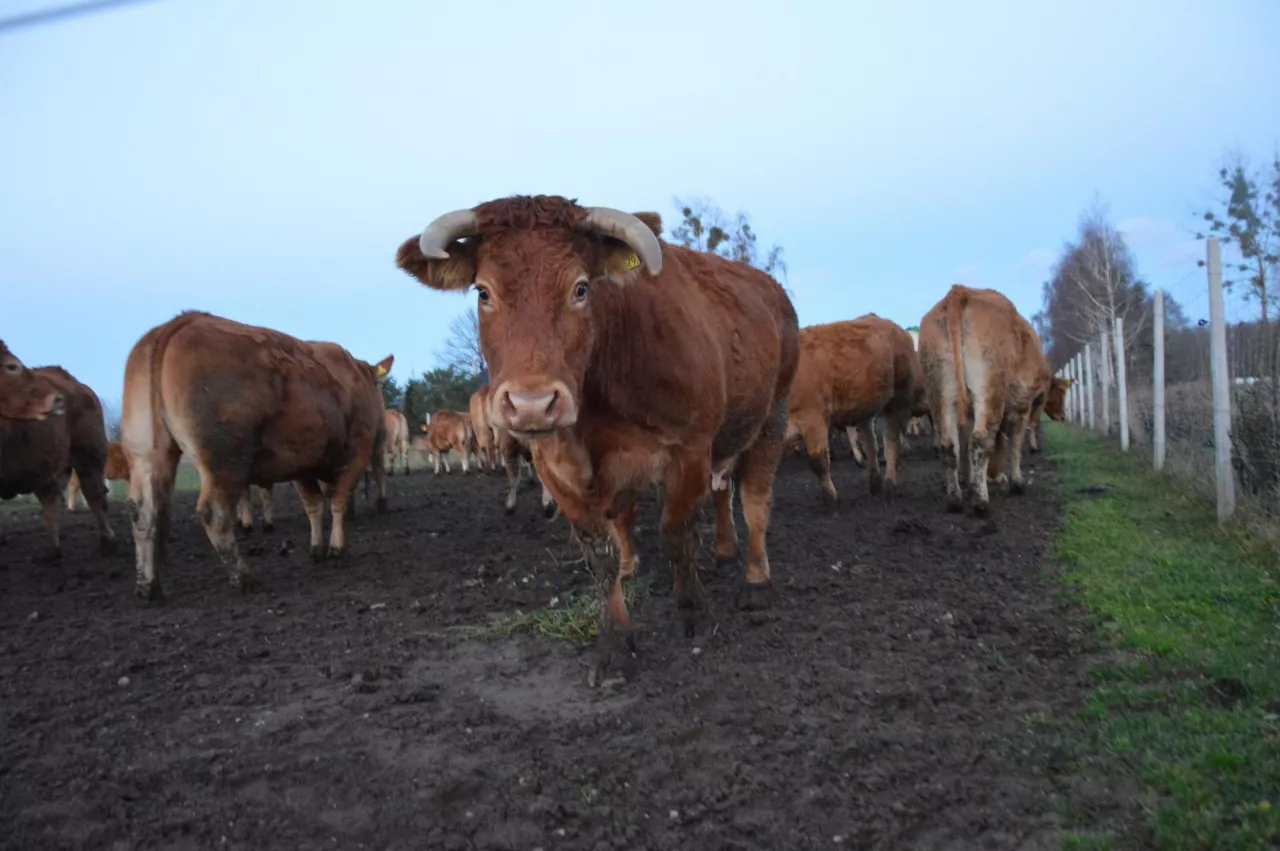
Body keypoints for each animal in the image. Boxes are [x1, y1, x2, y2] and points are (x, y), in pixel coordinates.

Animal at [120, 310, 391, 596]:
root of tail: (178, 324)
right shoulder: (357, 451)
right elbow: (339, 499)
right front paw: (338, 547)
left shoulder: (302, 462)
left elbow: (314, 504)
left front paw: (317, 547)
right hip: (225, 460)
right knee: (214, 513)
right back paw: (243, 576)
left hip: (145, 455)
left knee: (143, 511)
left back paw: (148, 585)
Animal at [399, 191, 798, 675]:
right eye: (483, 292)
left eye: (581, 288)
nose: (531, 403)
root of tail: (772, 291)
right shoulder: (557, 469)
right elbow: (600, 554)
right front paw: (614, 644)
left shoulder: (689, 450)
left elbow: (678, 533)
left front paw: (694, 614)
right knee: (717, 494)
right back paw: (719, 552)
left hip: (773, 414)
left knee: (755, 499)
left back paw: (755, 580)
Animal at [783, 313, 926, 501]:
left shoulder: (812, 416)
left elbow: (818, 461)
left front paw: (830, 499)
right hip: (864, 409)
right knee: (871, 444)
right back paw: (874, 481)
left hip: (896, 401)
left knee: (891, 440)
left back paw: (890, 483)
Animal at [921, 281, 1070, 514]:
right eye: (1062, 392)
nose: (1063, 416)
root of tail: (960, 291)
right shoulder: (1022, 404)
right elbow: (1015, 443)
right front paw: (1014, 482)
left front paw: (975, 481)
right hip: (990, 388)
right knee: (981, 440)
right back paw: (980, 501)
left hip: (940, 390)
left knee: (949, 444)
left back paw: (955, 499)